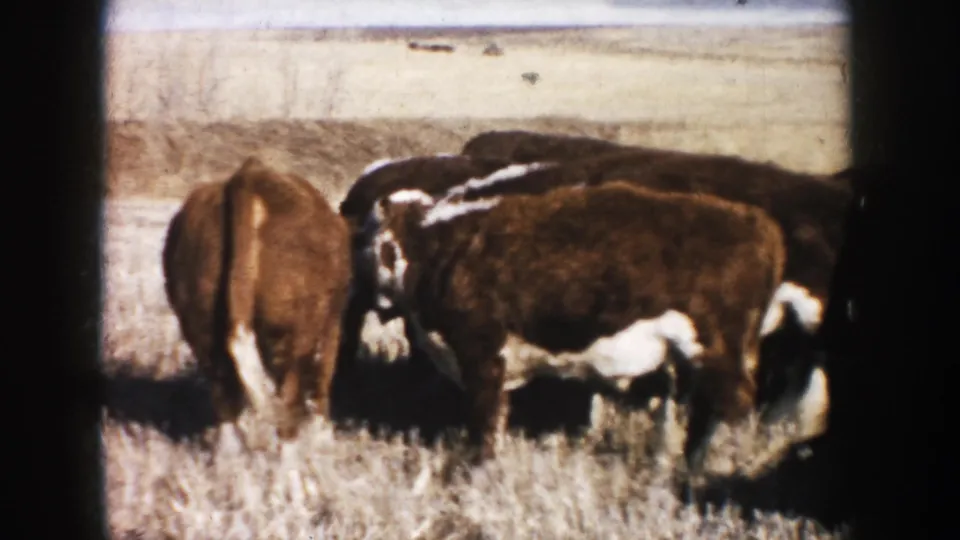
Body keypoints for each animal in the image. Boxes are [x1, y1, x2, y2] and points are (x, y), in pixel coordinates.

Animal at [162, 157, 352, 455]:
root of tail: (247, 175)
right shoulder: (333, 322)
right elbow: (324, 376)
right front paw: (323, 438)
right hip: (294, 331)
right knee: (289, 397)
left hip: (200, 324)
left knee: (223, 394)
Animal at [361, 181, 789, 489]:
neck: (440, 247)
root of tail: (756, 221)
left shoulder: (481, 352)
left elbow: (487, 420)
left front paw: (477, 471)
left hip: (717, 351)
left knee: (731, 409)